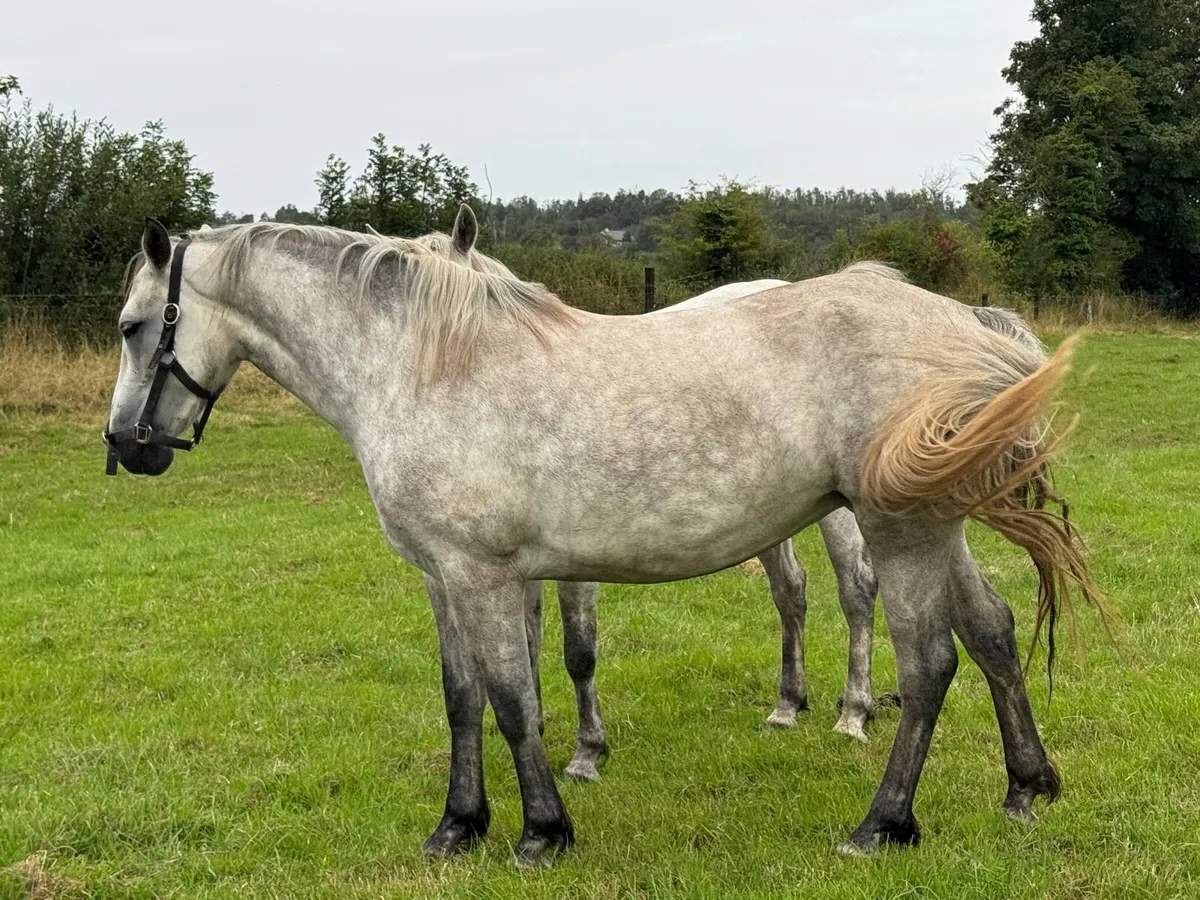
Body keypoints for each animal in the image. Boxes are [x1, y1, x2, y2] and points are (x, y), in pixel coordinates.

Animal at [105, 214, 1096, 865]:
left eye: (131, 327)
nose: (126, 447)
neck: (425, 365)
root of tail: (963, 321)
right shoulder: (443, 578)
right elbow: (463, 699)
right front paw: (457, 827)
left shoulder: (482, 576)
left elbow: (514, 701)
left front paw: (542, 833)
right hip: (935, 529)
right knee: (994, 631)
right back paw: (1027, 788)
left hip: (898, 532)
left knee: (928, 663)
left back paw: (882, 825)